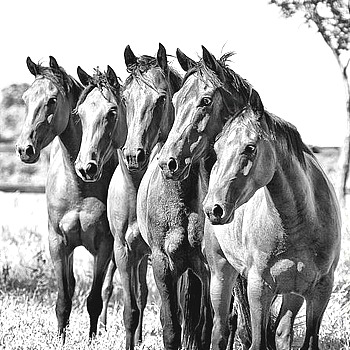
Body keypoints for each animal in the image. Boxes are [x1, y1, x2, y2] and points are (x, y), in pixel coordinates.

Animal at [15, 56, 117, 342]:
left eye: (52, 100)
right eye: (25, 98)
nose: (25, 149)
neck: (79, 185)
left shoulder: (104, 245)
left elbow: (94, 299)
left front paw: (92, 339)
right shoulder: (58, 244)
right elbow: (64, 298)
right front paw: (60, 338)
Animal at [131, 45, 213, 348]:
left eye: (161, 98)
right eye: (125, 98)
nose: (134, 155)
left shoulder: (207, 268)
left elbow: (204, 327)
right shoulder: (163, 265)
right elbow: (171, 327)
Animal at [202, 96, 342, 350]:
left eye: (250, 147)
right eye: (217, 148)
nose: (213, 210)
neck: (298, 222)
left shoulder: (321, 290)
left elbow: (305, 340)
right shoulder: (259, 288)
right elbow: (258, 342)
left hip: (293, 293)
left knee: (282, 332)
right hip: (220, 273)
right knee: (219, 331)